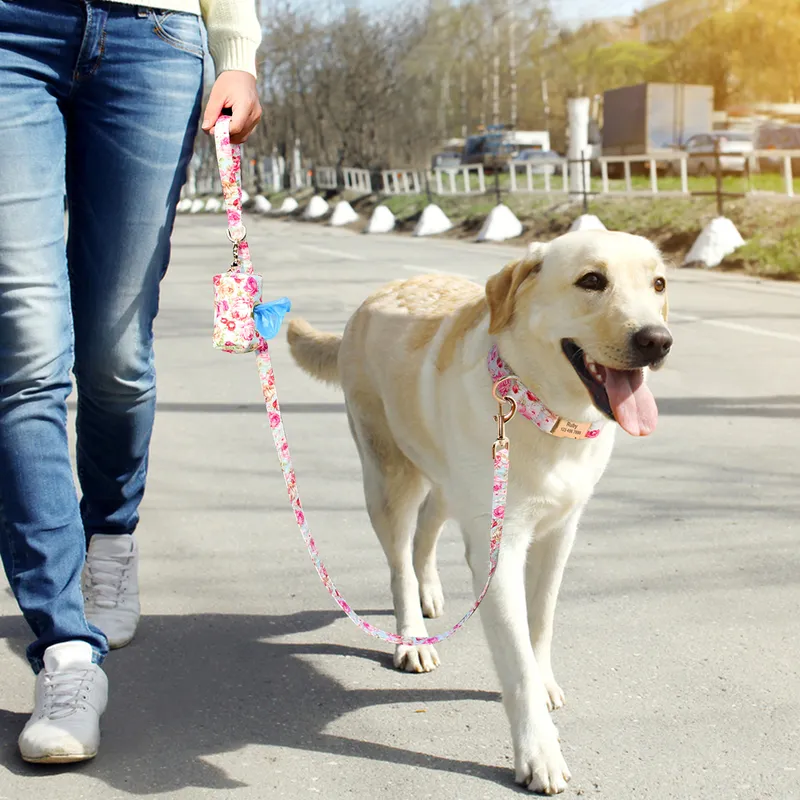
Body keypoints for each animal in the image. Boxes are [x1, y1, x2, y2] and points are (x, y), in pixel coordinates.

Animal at [286, 230, 668, 792]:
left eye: (658, 283)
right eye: (592, 280)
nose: (657, 341)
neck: (543, 412)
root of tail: (377, 294)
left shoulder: (559, 534)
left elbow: (541, 623)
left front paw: (545, 679)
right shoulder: (500, 551)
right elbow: (517, 660)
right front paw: (539, 752)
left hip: (448, 480)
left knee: (426, 531)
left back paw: (429, 592)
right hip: (388, 477)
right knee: (399, 560)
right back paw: (411, 637)